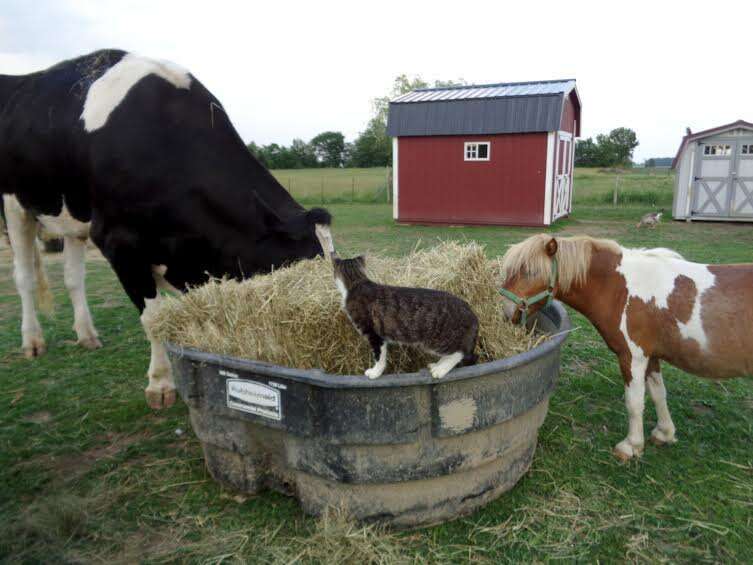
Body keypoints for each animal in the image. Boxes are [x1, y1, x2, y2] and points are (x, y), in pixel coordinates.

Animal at [1, 50, 332, 408]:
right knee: (25, 278)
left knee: (73, 278)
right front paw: (160, 384)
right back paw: (32, 341)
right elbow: (155, 318)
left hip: (73, 214)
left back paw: (87, 335)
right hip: (14, 204)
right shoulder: (119, 243)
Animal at [500, 232, 752, 458]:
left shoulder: (633, 356)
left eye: (530, 271)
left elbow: (634, 402)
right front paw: (664, 433)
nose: (506, 312)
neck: (621, 289)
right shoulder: (651, 355)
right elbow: (658, 393)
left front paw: (631, 446)